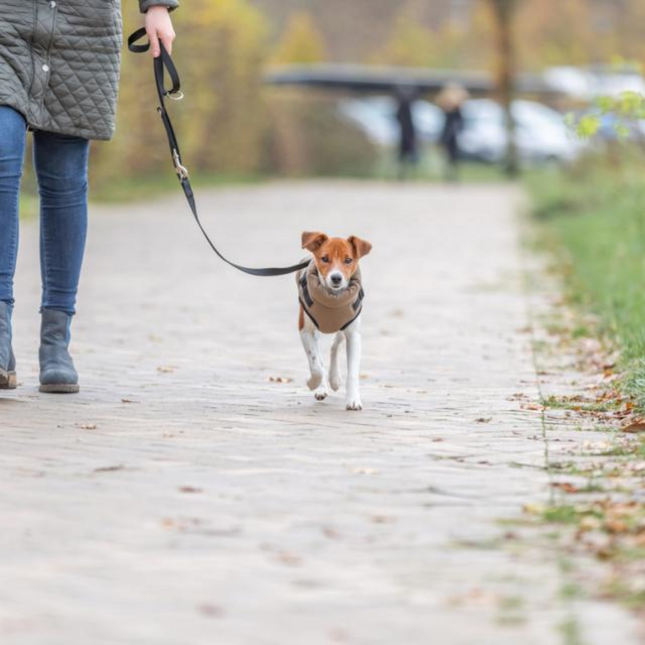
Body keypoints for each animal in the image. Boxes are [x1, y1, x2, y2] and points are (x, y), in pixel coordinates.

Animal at [296, 234, 372, 410]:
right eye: (324, 258)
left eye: (348, 260)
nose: (336, 277)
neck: (332, 298)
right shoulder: (305, 330)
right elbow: (316, 364)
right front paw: (312, 383)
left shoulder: (353, 335)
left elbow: (353, 371)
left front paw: (353, 399)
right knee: (320, 358)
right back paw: (322, 386)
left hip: (342, 328)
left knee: (334, 345)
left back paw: (335, 378)